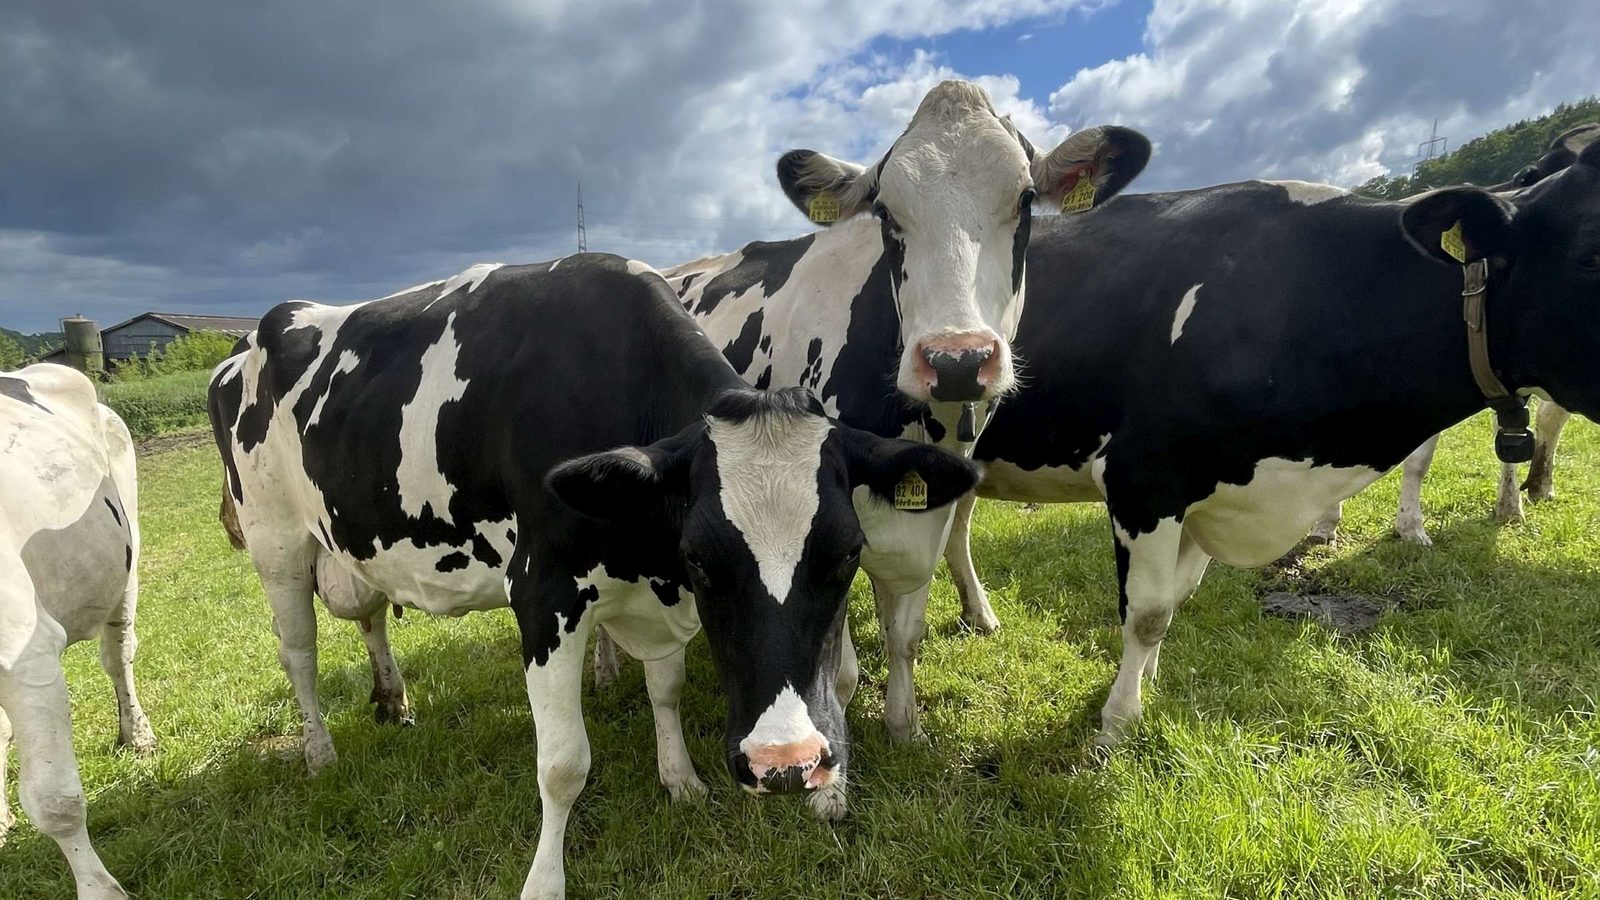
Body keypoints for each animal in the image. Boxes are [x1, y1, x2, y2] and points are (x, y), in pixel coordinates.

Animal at [1, 364, 154, 899]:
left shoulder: (26, 654)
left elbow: (55, 801)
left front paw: (99, 890)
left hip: (126, 567)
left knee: (119, 655)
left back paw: (137, 735)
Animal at [208, 255, 978, 900]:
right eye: (702, 558)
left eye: (846, 552)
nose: (784, 762)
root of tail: (252, 339)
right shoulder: (543, 593)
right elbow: (563, 763)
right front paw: (544, 881)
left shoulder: (655, 600)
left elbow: (666, 690)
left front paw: (680, 780)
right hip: (275, 542)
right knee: (299, 652)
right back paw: (319, 752)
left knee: (369, 618)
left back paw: (394, 701)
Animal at [646, 80, 1149, 744]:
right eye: (886, 212)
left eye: (1025, 200)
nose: (958, 359)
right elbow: (837, 667)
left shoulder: (930, 505)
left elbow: (905, 629)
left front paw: (903, 724)